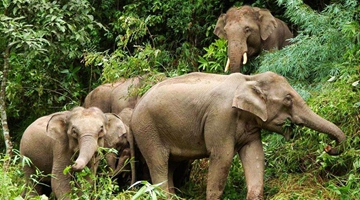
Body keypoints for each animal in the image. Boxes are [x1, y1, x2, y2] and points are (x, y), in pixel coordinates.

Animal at [130, 72, 346, 200]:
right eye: (287, 99)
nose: (328, 147)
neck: (251, 78)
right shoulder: (221, 117)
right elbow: (223, 157)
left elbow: (255, 155)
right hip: (147, 130)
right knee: (159, 163)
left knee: (171, 165)